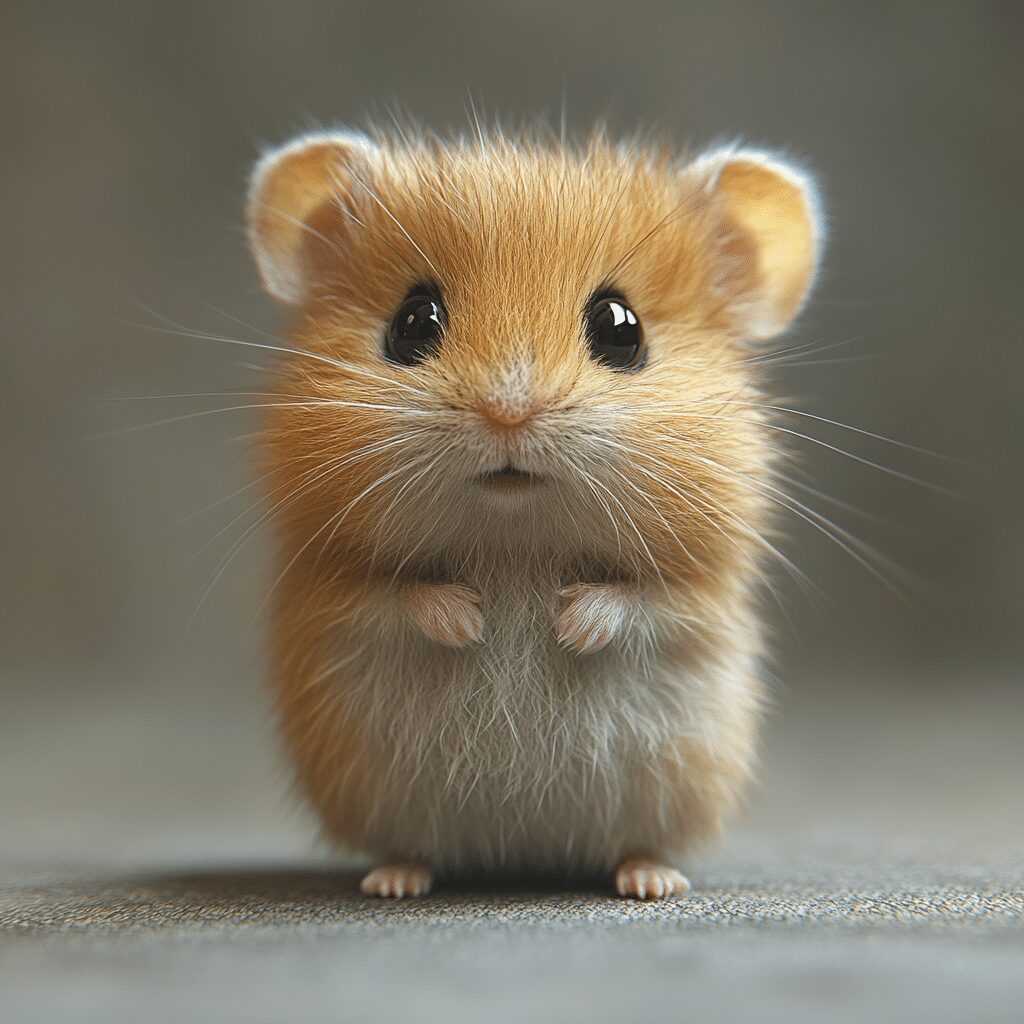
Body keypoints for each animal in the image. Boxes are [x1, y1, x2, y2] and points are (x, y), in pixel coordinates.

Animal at [245, 127, 822, 900]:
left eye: (621, 329)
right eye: (412, 322)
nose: (508, 412)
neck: (515, 536)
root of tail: (516, 853)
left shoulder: (698, 593)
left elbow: (636, 598)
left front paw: (568, 623)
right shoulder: (331, 584)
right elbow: (399, 593)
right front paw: (471, 620)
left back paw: (651, 881)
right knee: (411, 849)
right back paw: (395, 880)